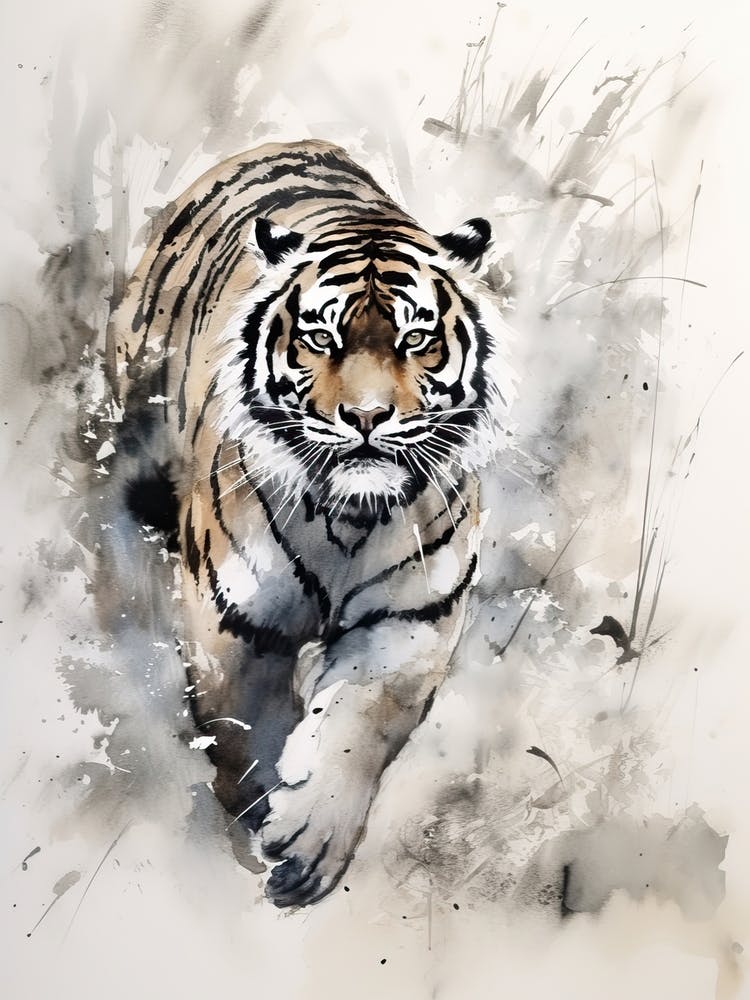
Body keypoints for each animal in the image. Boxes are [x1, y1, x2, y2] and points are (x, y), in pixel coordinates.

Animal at [104, 139, 514, 907]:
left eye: (417, 337)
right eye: (321, 335)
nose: (367, 416)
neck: (350, 517)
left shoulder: (410, 620)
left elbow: (361, 723)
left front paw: (308, 839)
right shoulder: (236, 619)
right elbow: (245, 726)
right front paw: (260, 814)